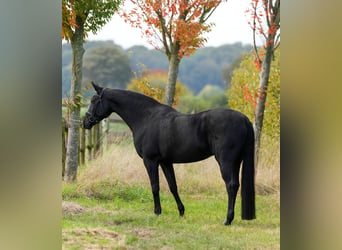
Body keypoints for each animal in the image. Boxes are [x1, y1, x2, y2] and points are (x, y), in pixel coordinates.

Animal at [83, 82, 254, 225]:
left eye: (94, 100)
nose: (85, 122)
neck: (146, 118)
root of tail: (244, 119)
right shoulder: (166, 162)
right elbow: (173, 186)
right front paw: (181, 212)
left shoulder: (150, 161)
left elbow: (155, 186)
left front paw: (157, 212)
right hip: (236, 162)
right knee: (235, 185)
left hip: (226, 161)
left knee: (231, 185)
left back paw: (227, 220)